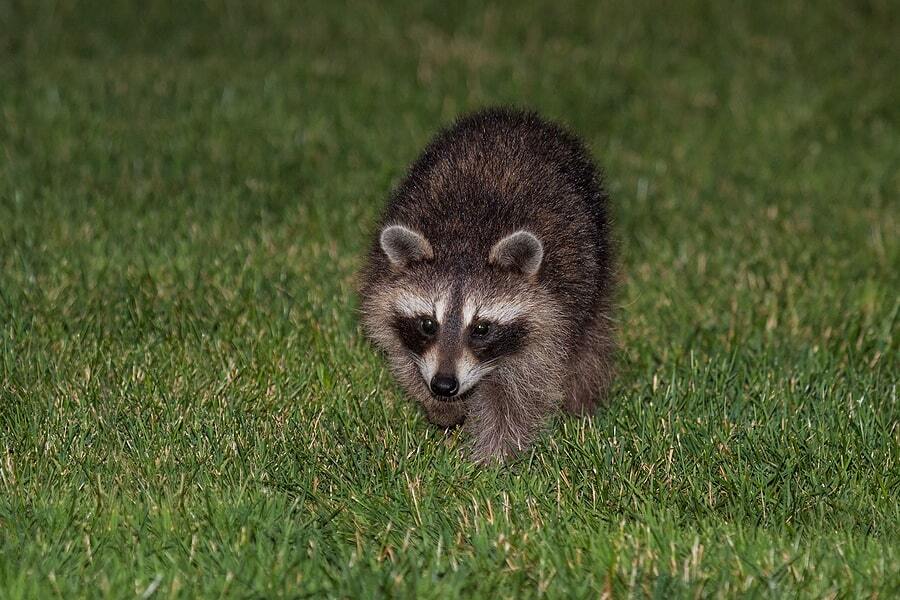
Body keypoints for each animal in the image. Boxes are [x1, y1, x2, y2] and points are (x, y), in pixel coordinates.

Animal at [358, 108, 616, 462]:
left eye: (481, 328)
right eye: (427, 324)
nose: (443, 386)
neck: (466, 242)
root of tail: (514, 116)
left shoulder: (552, 313)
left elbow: (518, 393)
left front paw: (493, 457)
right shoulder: (384, 293)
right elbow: (402, 355)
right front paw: (439, 406)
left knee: (592, 337)